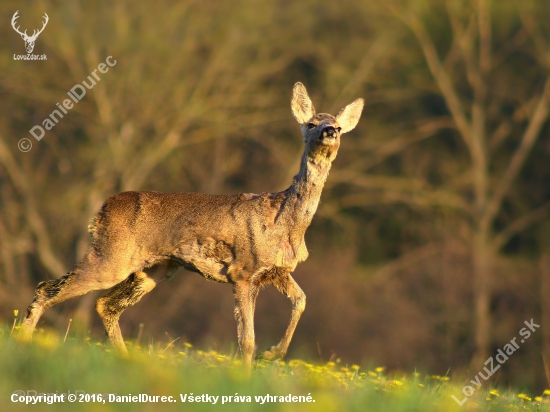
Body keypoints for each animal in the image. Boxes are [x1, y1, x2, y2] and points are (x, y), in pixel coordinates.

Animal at [18, 82, 362, 366]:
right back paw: (22, 341)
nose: (330, 131)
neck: (285, 221)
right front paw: (249, 372)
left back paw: (124, 358)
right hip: (111, 256)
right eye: (311, 123)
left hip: (155, 268)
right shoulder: (243, 271)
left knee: (104, 304)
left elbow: (301, 301)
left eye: (338, 126)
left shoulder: (276, 271)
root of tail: (101, 210)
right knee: (48, 288)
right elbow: (247, 340)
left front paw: (273, 353)